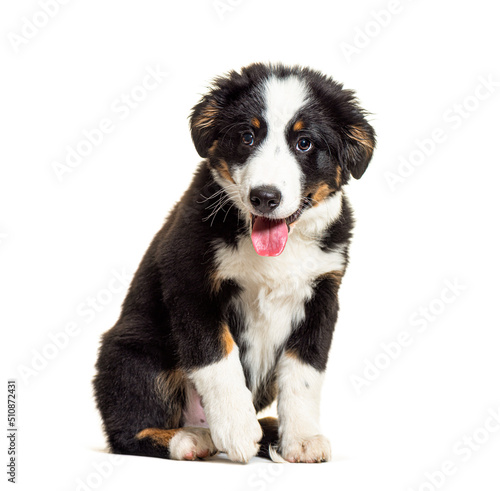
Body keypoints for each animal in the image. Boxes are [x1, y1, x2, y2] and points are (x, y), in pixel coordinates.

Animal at [94, 62, 376, 466]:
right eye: (247, 136)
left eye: (304, 143)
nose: (265, 197)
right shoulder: (189, 280)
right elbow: (217, 357)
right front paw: (237, 429)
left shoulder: (323, 294)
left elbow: (305, 371)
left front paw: (301, 438)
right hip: (133, 353)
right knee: (126, 432)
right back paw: (191, 438)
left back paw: (269, 429)